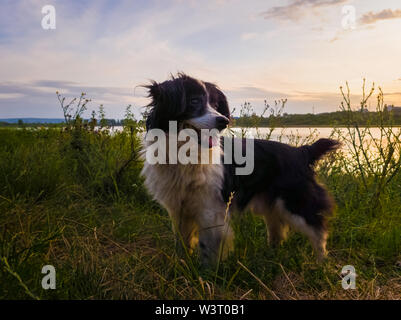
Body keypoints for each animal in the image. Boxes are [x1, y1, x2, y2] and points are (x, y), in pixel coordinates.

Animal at [140, 73, 338, 264]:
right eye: (194, 101)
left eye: (215, 104)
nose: (223, 121)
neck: (185, 154)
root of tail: (302, 151)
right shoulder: (179, 209)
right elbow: (182, 242)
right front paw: (181, 265)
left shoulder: (211, 209)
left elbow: (208, 248)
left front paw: (207, 272)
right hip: (272, 204)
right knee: (277, 231)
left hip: (295, 202)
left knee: (318, 231)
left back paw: (321, 264)